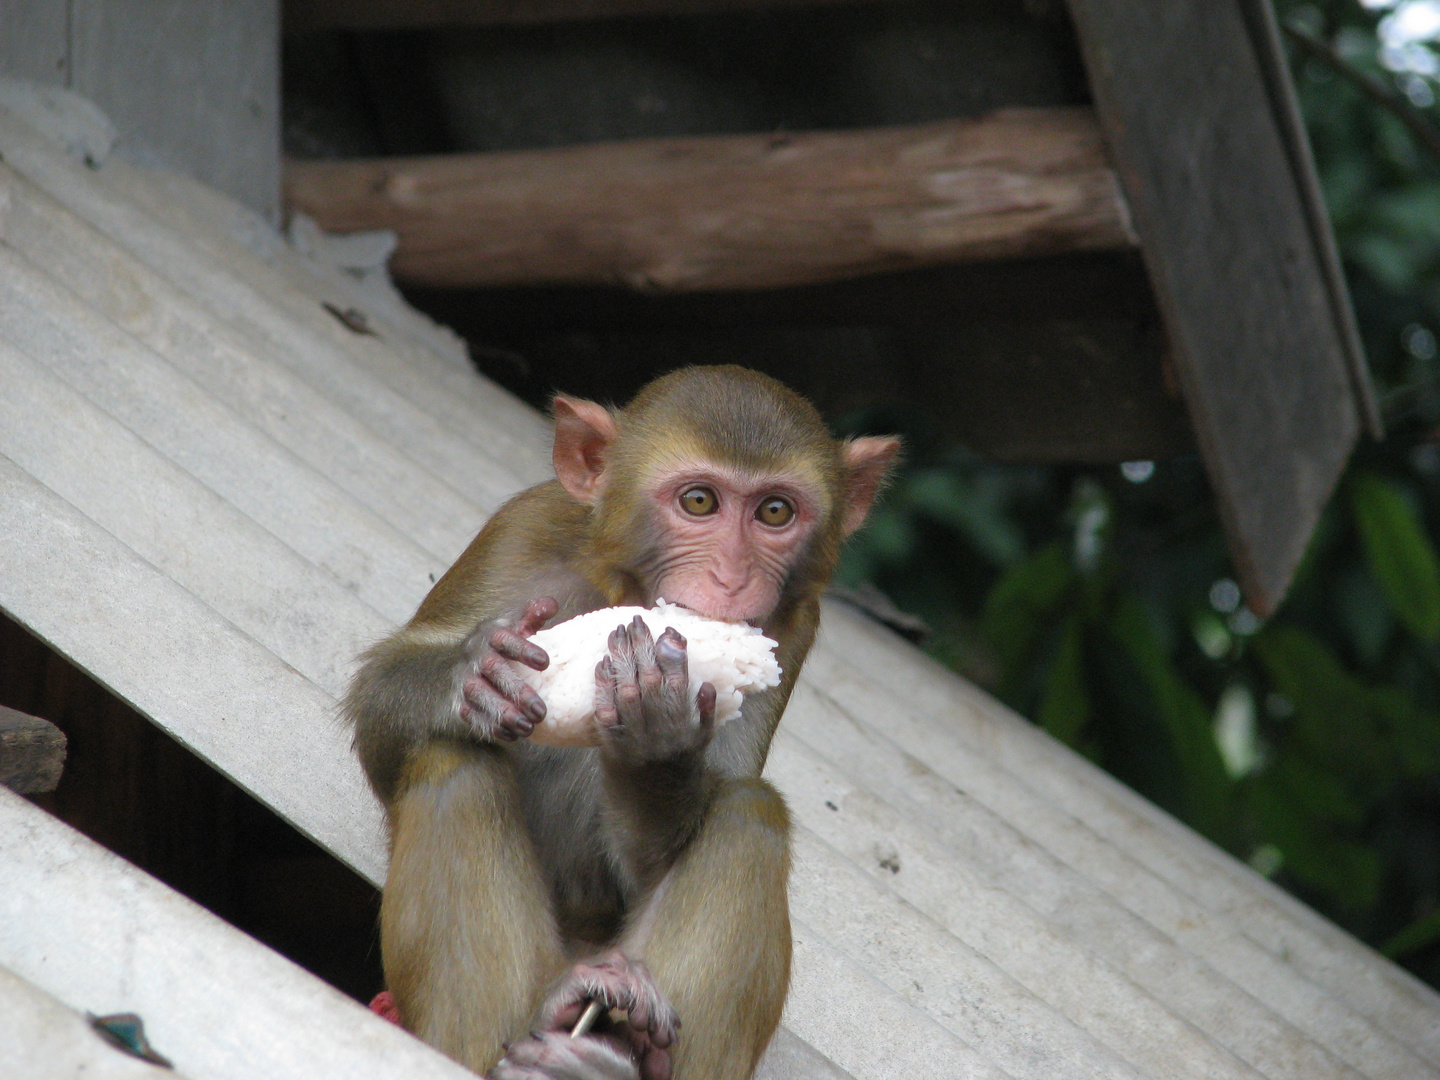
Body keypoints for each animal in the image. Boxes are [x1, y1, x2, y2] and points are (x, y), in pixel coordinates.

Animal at [342, 365, 892, 1080]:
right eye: (698, 502)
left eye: (775, 512)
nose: (731, 579)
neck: (625, 588)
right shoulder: (522, 531)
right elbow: (385, 714)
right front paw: (475, 674)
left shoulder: (794, 628)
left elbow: (659, 854)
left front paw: (657, 744)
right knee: (453, 759)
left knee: (750, 813)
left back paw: (611, 1056)